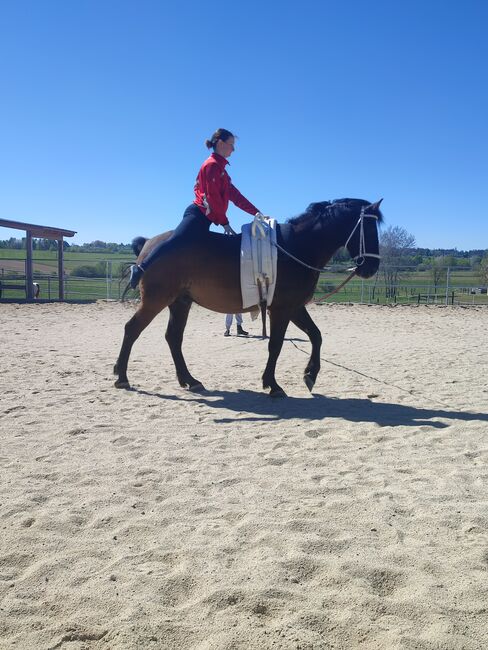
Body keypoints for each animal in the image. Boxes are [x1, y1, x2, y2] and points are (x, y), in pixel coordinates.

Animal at [113, 199, 382, 394]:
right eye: (369, 228)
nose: (371, 268)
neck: (295, 248)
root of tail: (149, 244)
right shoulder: (282, 309)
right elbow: (276, 345)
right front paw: (272, 384)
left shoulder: (295, 307)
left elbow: (316, 336)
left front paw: (310, 375)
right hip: (156, 301)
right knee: (132, 329)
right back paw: (122, 377)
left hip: (180, 303)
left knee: (173, 338)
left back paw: (189, 380)